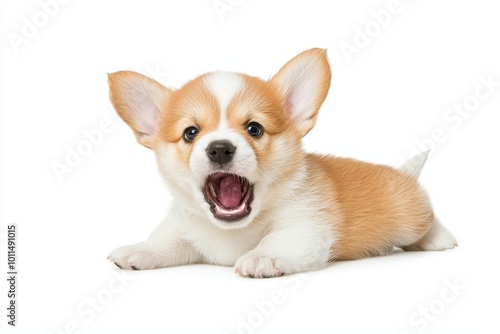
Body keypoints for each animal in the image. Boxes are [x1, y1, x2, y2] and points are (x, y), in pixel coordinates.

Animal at [106, 48, 458, 278]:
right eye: (190, 133)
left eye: (254, 129)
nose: (220, 149)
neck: (232, 230)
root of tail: (403, 175)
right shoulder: (184, 227)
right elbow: (166, 240)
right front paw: (139, 250)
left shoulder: (305, 227)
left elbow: (276, 239)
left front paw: (262, 258)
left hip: (410, 219)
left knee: (427, 221)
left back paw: (439, 239)